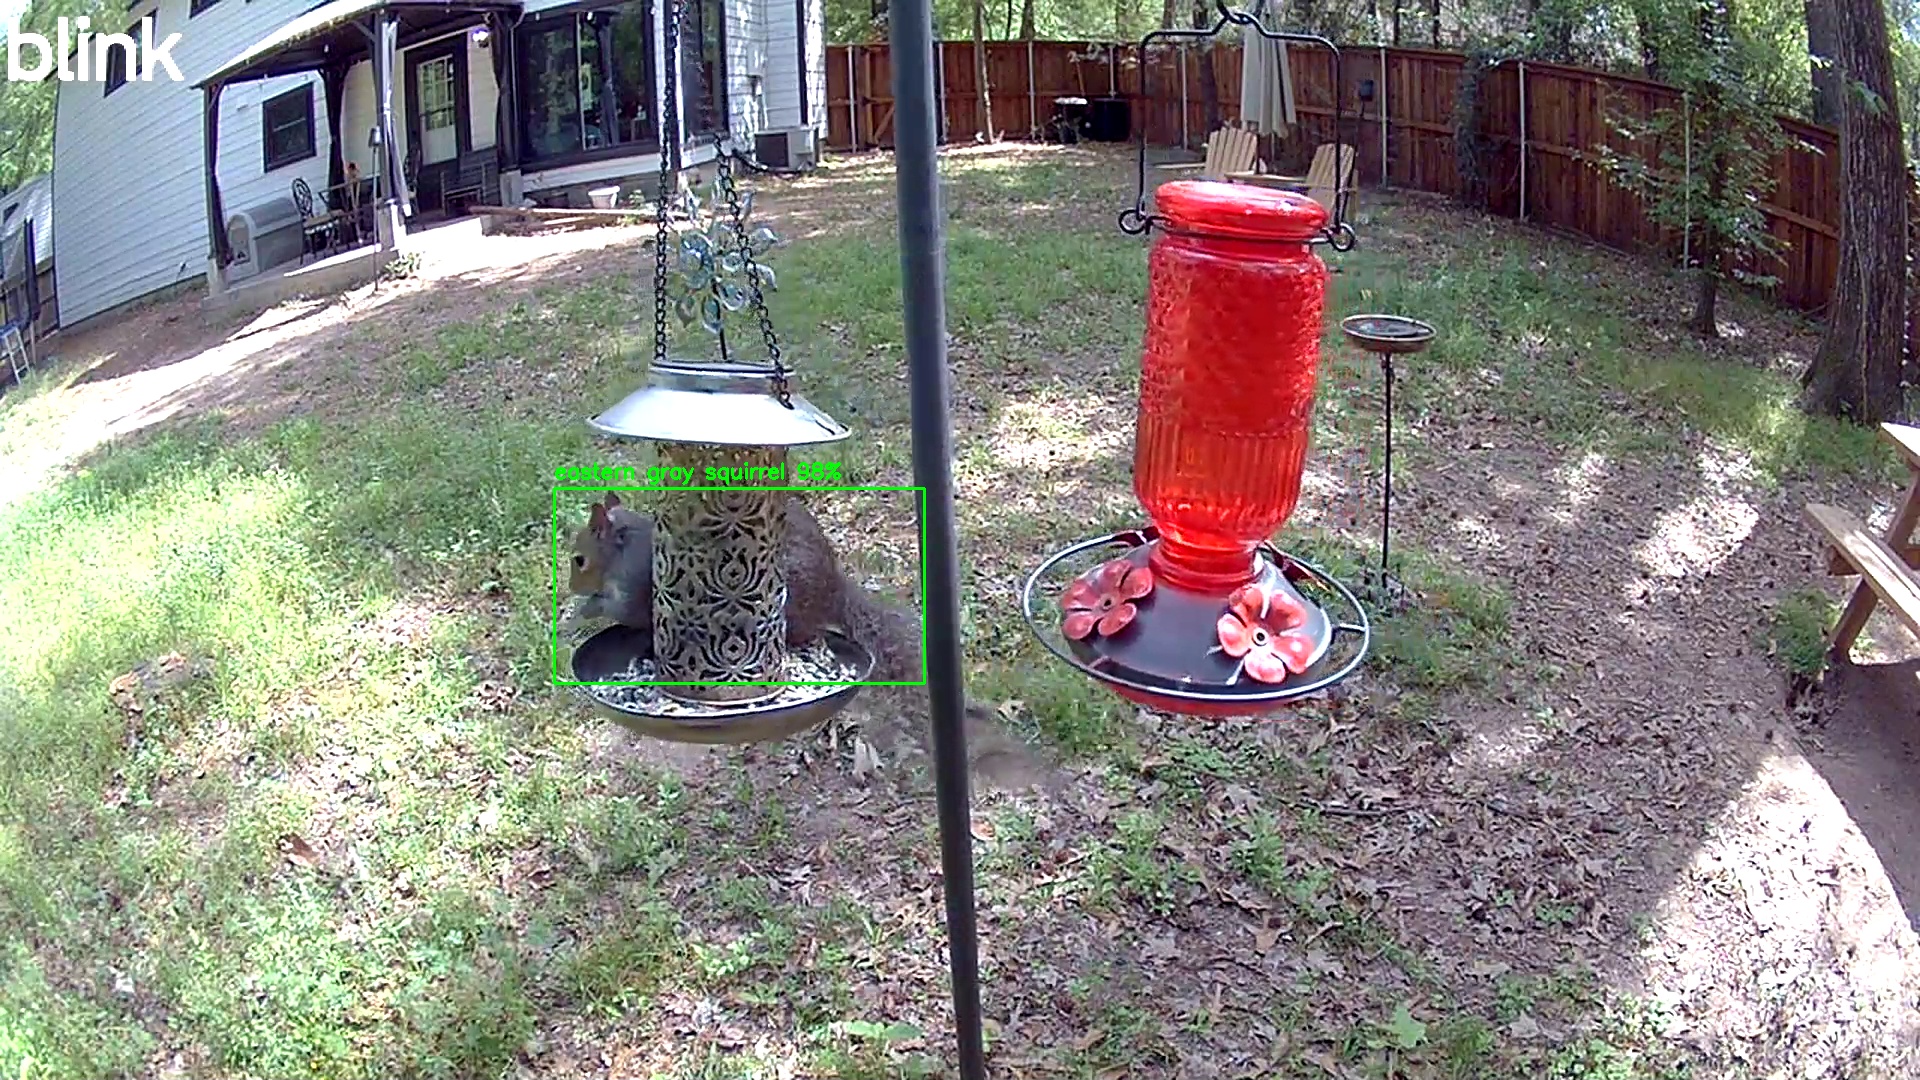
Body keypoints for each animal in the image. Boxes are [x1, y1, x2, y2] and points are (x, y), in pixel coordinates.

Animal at [566, 491, 1057, 790]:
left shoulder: (635, 584)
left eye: (579, 559)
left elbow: (624, 610)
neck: (623, 549)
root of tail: (835, 592)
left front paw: (580, 613)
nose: (570, 586)